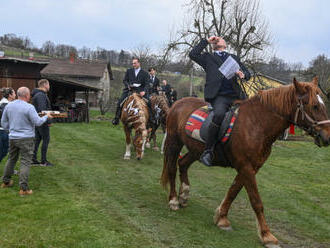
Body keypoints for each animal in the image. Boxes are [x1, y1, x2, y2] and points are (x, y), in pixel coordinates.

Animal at [161, 77, 330, 246]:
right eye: (314, 106)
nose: (327, 137)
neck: (257, 124)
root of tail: (178, 103)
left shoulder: (251, 167)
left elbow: (233, 191)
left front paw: (222, 218)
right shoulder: (246, 167)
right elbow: (256, 201)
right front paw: (267, 235)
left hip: (196, 150)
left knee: (183, 164)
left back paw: (184, 195)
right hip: (174, 143)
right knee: (172, 168)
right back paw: (174, 200)